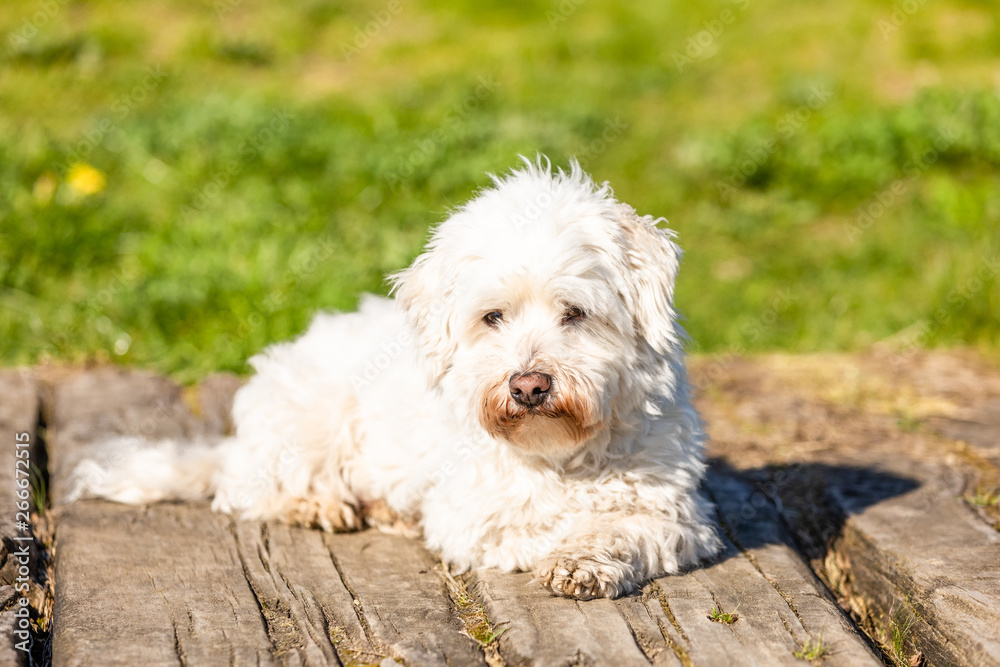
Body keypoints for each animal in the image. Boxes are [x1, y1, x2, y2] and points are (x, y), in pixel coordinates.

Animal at [72, 160, 728, 600]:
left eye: (575, 312)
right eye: (493, 317)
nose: (528, 386)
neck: (560, 455)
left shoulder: (676, 514)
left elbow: (623, 527)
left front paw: (585, 558)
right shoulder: (472, 515)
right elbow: (530, 525)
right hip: (311, 422)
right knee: (247, 488)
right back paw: (320, 504)